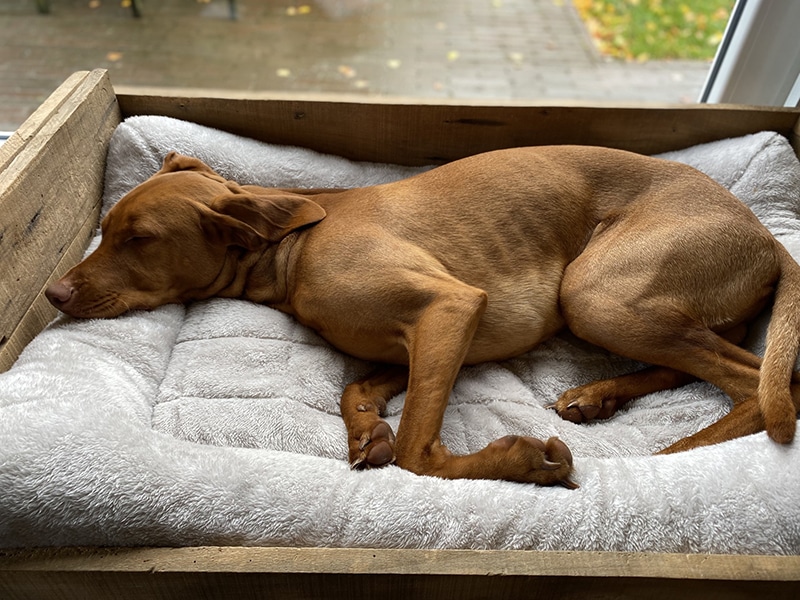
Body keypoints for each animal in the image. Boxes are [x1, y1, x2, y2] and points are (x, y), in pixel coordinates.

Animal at [45, 149, 800, 488]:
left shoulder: (449, 309)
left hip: (595, 293)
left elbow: (417, 454)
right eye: (106, 228)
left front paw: (520, 461)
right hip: (623, 309)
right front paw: (364, 433)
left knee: (761, 386)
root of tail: (769, 239)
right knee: (710, 368)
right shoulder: (421, 342)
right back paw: (598, 394)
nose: (51, 293)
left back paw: (670, 457)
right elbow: (357, 390)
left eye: (138, 239)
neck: (293, 248)